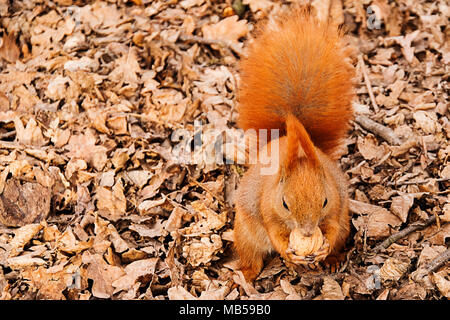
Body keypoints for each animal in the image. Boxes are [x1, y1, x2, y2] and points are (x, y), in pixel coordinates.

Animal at [232, 8, 356, 282]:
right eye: (285, 203)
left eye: (324, 201)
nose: (308, 233)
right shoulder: (267, 208)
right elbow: (274, 233)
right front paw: (290, 253)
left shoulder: (336, 205)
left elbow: (331, 227)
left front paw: (325, 248)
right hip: (244, 232)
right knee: (251, 255)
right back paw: (247, 273)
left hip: (346, 226)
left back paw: (332, 260)